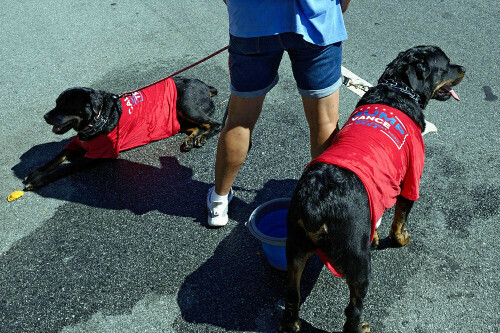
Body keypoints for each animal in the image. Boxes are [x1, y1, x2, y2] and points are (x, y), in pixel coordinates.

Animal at [23, 76, 219, 189]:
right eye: (56, 103)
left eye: (66, 105)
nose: (45, 116)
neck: (97, 119)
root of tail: (205, 86)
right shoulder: (77, 142)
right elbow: (57, 156)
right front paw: (37, 171)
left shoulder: (97, 154)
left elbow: (67, 167)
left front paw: (39, 180)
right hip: (174, 118)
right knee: (196, 126)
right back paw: (190, 139)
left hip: (186, 105)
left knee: (214, 124)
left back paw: (202, 137)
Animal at [282, 46, 464, 332]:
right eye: (445, 65)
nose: (463, 69)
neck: (398, 89)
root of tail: (316, 203)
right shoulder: (411, 177)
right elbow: (401, 215)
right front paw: (400, 238)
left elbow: (379, 215)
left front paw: (377, 236)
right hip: (358, 262)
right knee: (353, 308)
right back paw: (360, 327)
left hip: (294, 248)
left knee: (292, 296)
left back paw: (290, 325)